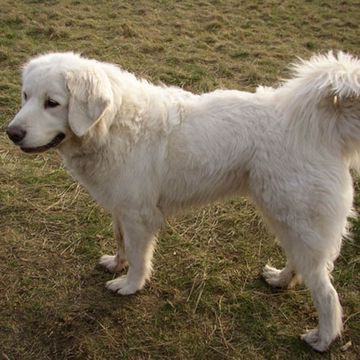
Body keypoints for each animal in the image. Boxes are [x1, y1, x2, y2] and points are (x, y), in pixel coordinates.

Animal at [6, 52, 360, 350]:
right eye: (25, 96)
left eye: (52, 103)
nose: (12, 133)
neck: (112, 123)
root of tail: (317, 124)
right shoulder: (121, 209)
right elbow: (120, 242)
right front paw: (116, 264)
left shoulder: (139, 216)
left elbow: (139, 257)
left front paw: (130, 285)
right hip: (283, 217)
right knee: (300, 264)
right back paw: (281, 280)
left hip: (297, 219)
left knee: (326, 292)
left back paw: (323, 338)